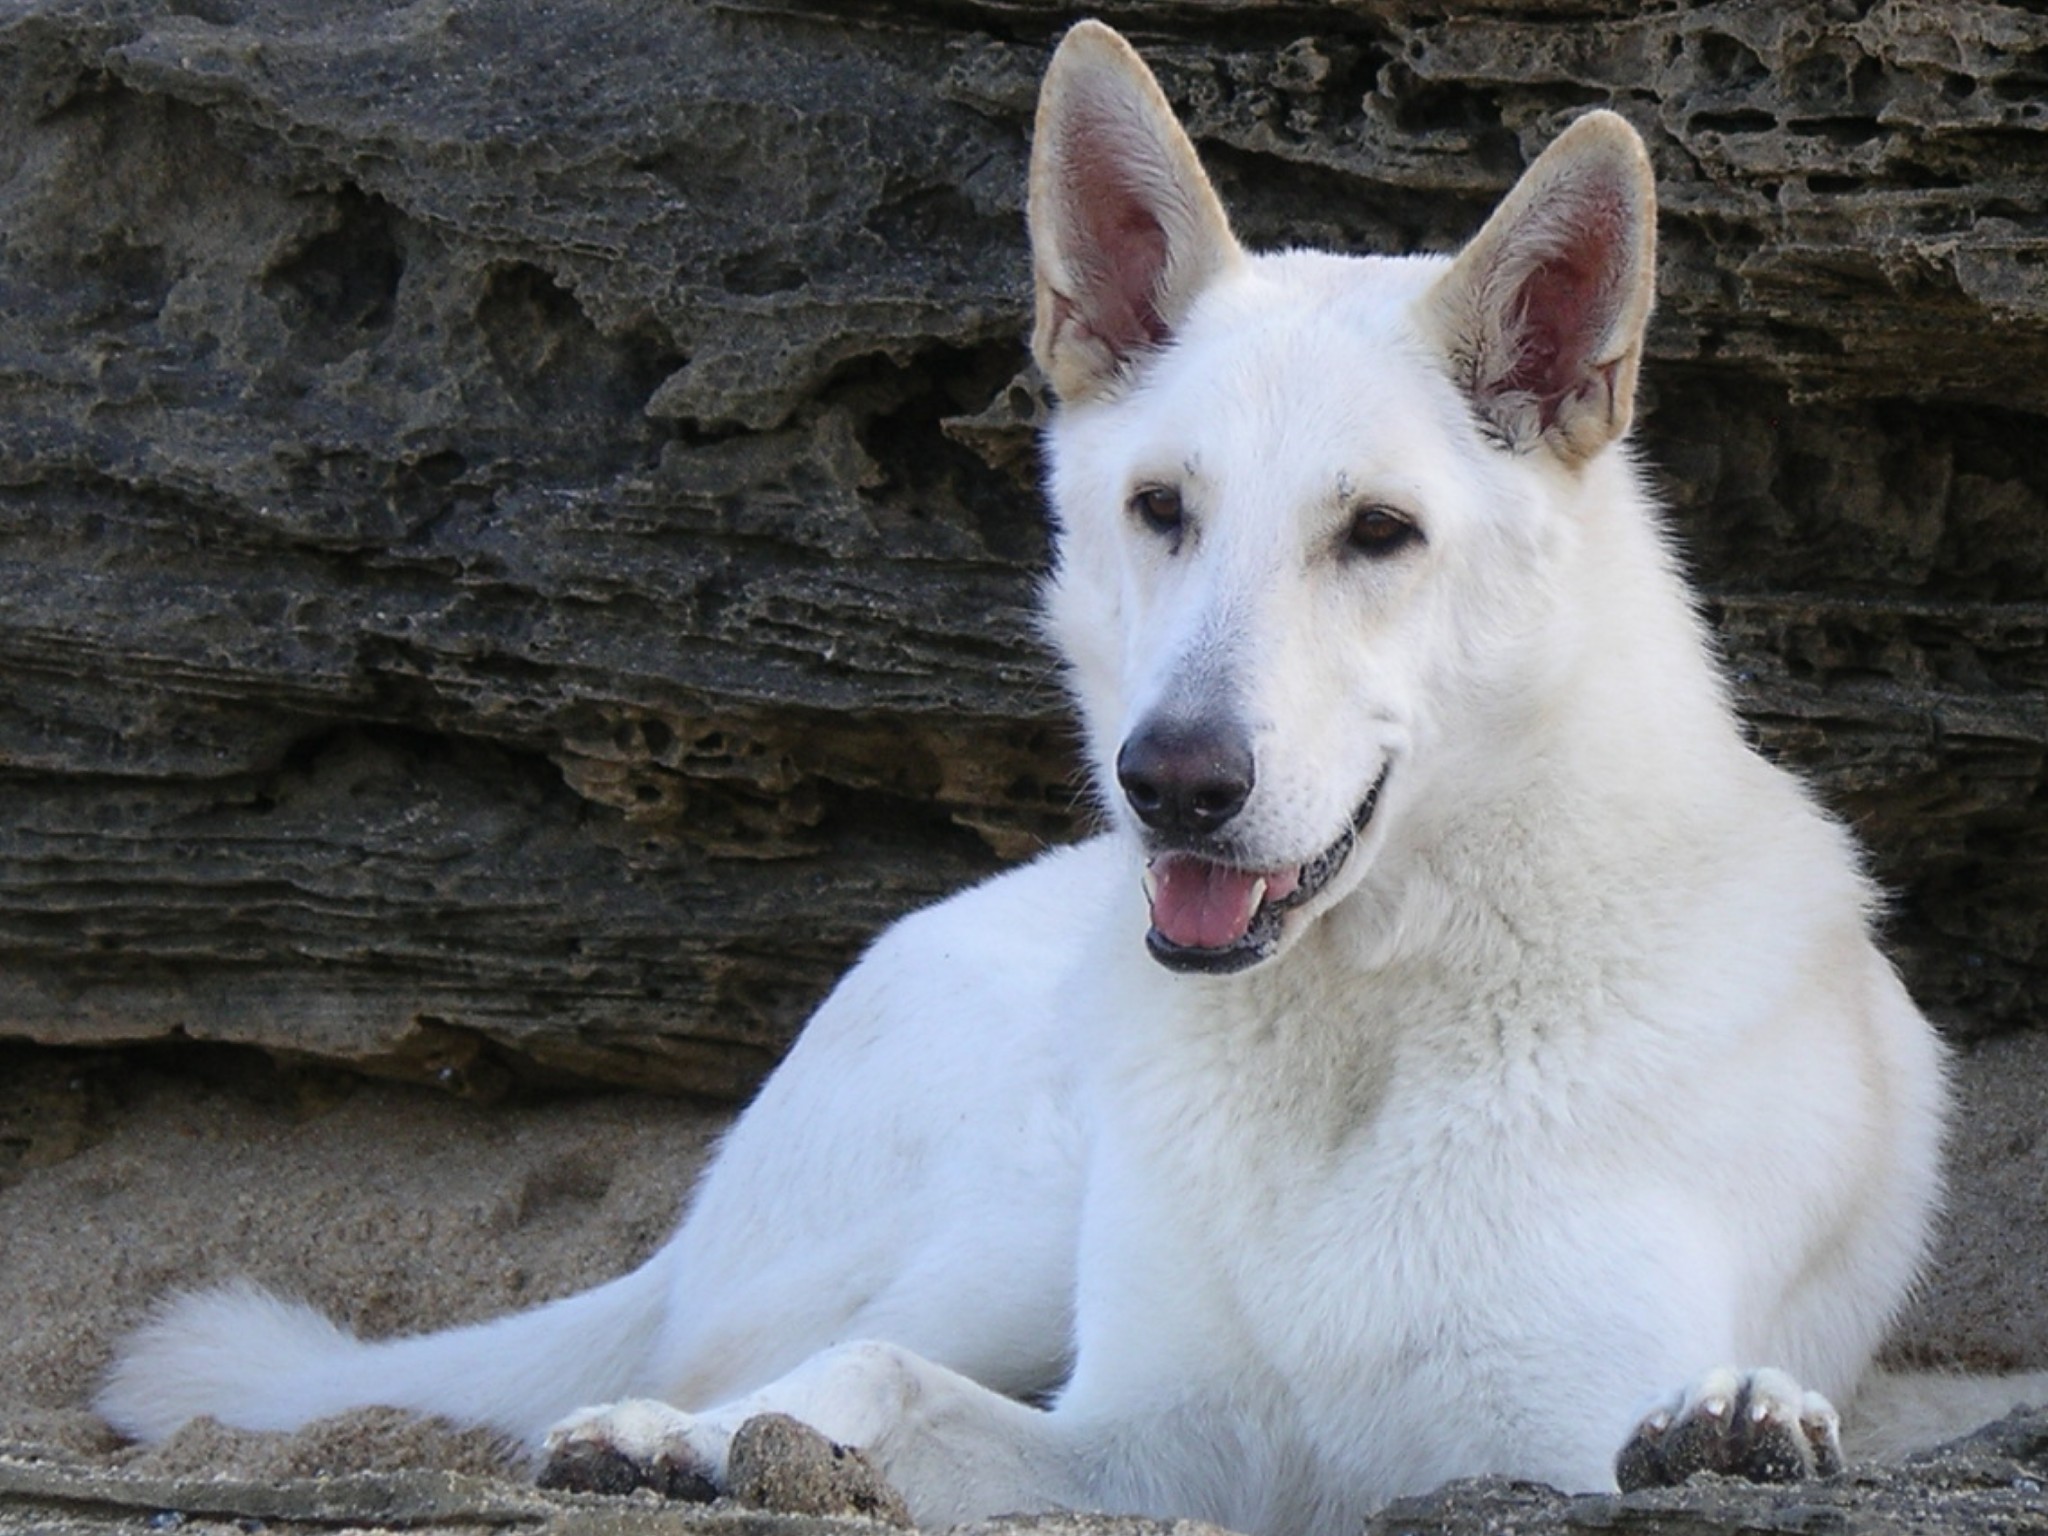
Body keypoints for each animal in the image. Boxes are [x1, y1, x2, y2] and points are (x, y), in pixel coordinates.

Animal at [103, 24, 2039, 1536]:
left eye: (1379, 533)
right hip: (1019, 1212)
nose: (1171, 781)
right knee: (815, 1352)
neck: (1363, 1028)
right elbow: (896, 1390)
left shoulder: (1527, 1436)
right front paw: (732, 1447)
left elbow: (1660, 1424)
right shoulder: (1160, 1438)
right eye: (1159, 507)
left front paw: (1735, 1424)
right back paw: (679, 1438)